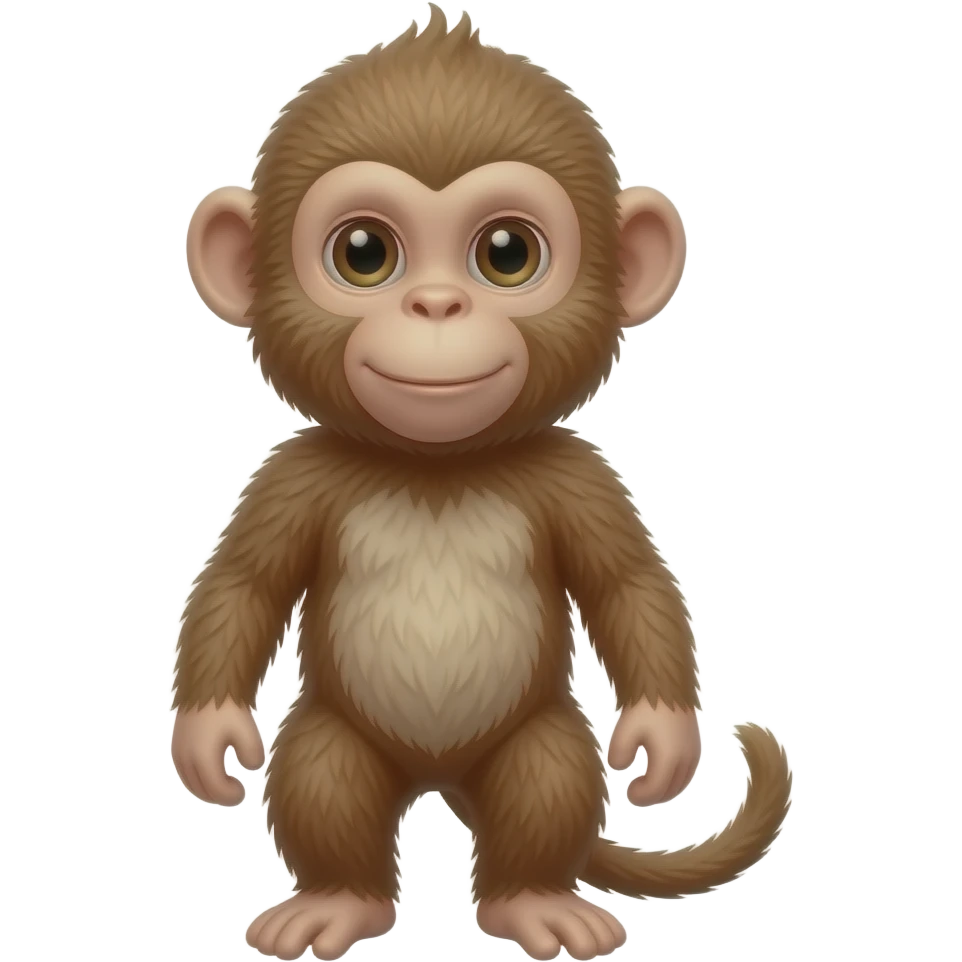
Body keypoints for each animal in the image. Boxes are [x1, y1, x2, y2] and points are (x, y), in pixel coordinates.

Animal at [172, 6, 793, 961]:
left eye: (507, 254)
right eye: (364, 254)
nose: (436, 306)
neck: (439, 465)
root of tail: (440, 780)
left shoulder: (577, 475)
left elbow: (629, 584)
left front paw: (663, 736)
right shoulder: (294, 475)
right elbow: (243, 583)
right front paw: (208, 737)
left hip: (533, 743)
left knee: (547, 776)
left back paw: (532, 900)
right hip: (340, 739)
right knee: (323, 773)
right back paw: (338, 900)